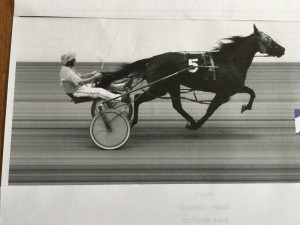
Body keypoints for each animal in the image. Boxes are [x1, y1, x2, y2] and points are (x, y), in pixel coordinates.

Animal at [98, 24, 284, 129]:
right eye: (269, 40)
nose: (283, 49)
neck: (229, 61)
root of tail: (152, 60)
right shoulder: (224, 92)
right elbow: (211, 110)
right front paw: (198, 125)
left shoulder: (234, 88)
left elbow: (252, 92)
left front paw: (246, 107)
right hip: (160, 87)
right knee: (137, 98)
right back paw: (133, 120)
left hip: (172, 86)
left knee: (176, 105)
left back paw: (190, 120)